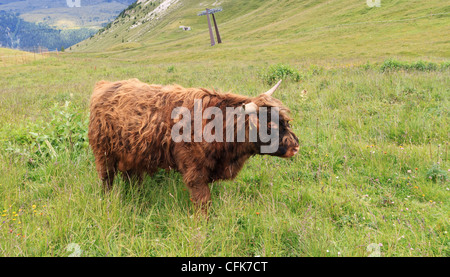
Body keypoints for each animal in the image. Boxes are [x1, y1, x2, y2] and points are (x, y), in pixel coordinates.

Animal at [88, 78, 298, 212]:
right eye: (269, 125)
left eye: (285, 120)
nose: (296, 146)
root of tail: (104, 85)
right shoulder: (195, 172)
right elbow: (203, 202)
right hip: (104, 153)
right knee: (107, 179)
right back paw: (106, 200)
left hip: (132, 154)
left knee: (131, 178)